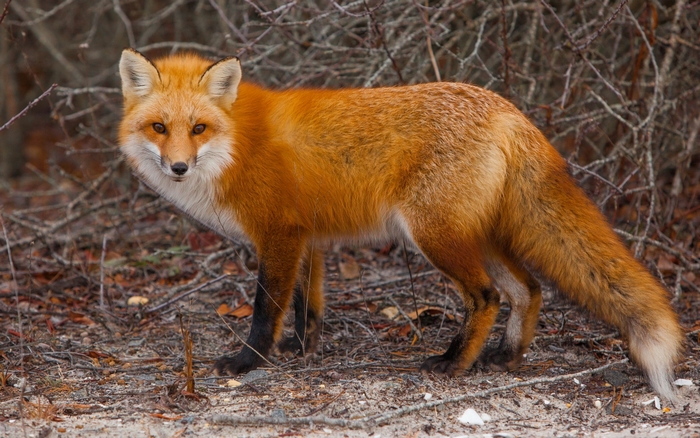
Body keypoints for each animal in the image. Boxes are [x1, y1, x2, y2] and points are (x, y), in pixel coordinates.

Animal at [118, 49, 684, 399]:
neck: (236, 144)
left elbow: (265, 309)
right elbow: (307, 307)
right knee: (529, 289)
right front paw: (302, 350)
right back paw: (506, 358)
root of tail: (507, 109)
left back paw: (454, 363)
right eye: (159, 127)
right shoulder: (307, 240)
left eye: (198, 128)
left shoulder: (278, 235)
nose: (178, 167)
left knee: (487, 296)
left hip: (434, 236)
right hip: (478, 236)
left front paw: (247, 362)